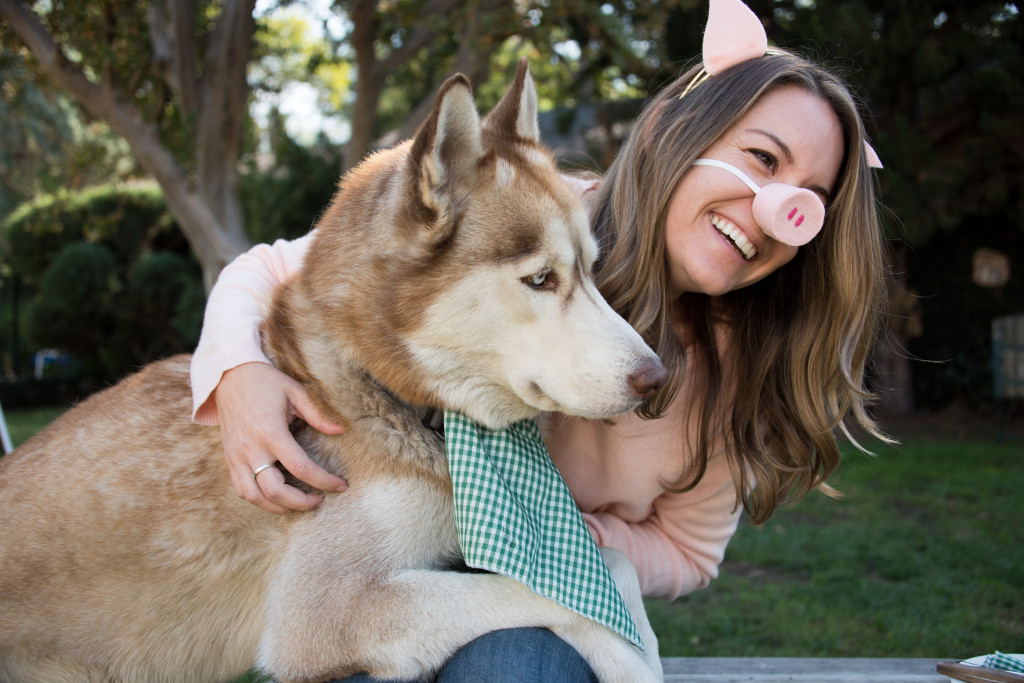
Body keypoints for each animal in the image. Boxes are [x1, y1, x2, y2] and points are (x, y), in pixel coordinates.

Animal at [0, 60, 667, 683]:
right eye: (540, 278)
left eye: (592, 270)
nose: (656, 377)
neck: (393, 395)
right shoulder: (325, 611)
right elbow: (556, 596)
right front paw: (629, 661)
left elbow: (612, 568)